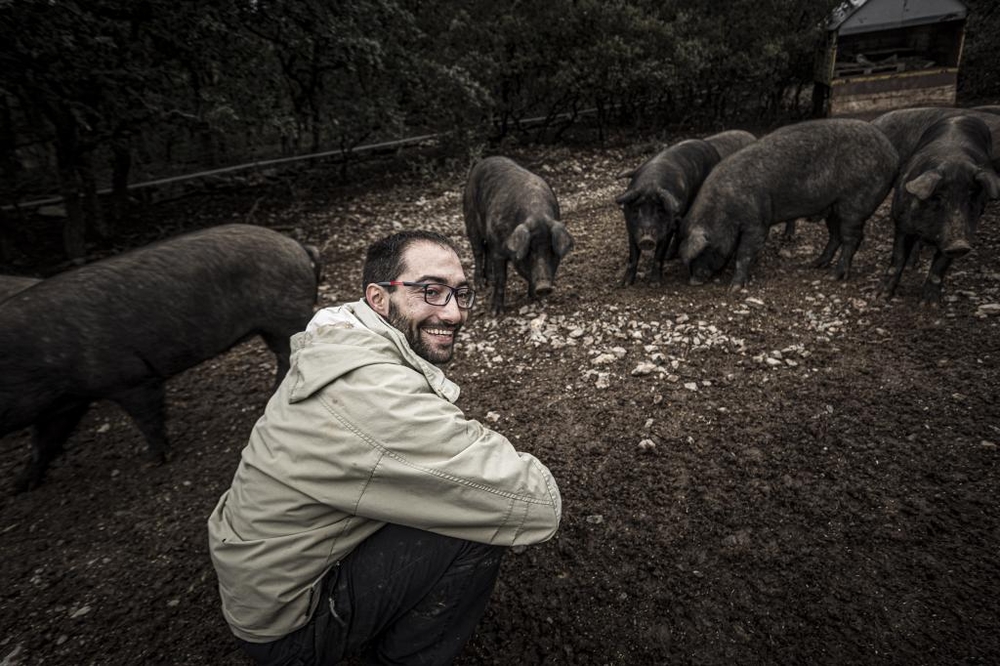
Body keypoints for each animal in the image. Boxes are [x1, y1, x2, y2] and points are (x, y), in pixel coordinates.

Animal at [0, 223, 320, 488]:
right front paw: (19, 486)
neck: (35, 357)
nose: (11, 487)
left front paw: (152, 462)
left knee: (288, 354)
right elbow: (45, 440)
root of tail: (297, 246)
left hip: (285, 313)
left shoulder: (131, 377)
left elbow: (148, 416)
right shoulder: (68, 401)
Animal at [464, 156, 576, 314]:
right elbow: (501, 278)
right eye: (530, 250)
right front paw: (495, 313)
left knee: (486, 250)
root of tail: (481, 162)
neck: (536, 214)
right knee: (478, 251)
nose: (544, 287)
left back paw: (489, 280)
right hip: (470, 218)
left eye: (550, 249)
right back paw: (480, 286)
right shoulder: (498, 250)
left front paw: (535, 300)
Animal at [612, 130, 752, 286]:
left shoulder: (666, 228)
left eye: (660, 211)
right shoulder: (631, 228)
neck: (650, 184)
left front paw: (655, 284)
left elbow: (658, 255)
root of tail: (708, 145)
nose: (647, 239)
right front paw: (625, 284)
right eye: (636, 210)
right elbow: (633, 256)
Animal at [680, 117, 900, 288]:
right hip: (832, 206)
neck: (725, 210)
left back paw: (834, 276)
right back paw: (816, 264)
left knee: (853, 238)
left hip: (856, 203)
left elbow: (746, 251)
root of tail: (893, 156)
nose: (694, 281)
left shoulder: (757, 221)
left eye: (705, 249)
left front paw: (734, 287)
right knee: (835, 235)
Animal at [880, 114, 996, 300]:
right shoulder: (902, 223)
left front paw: (928, 304)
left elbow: (938, 269)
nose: (959, 244)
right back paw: (911, 266)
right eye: (938, 197)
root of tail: (962, 115)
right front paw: (882, 297)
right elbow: (897, 260)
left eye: (971, 197)